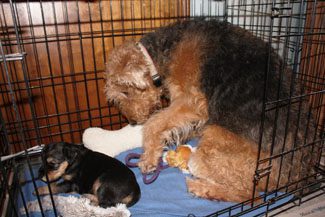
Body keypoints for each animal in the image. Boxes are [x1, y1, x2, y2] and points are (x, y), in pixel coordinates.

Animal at [104, 19, 316, 202]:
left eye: (125, 91)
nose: (133, 121)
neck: (161, 54)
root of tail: (295, 173)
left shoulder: (191, 100)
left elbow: (154, 124)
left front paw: (148, 159)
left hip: (213, 144)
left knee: (249, 194)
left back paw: (199, 187)